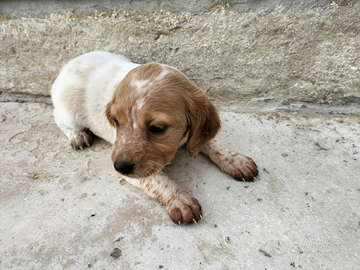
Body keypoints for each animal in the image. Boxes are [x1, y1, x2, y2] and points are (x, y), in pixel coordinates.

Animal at [51, 51, 258, 225]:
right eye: (116, 121)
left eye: (157, 128)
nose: (119, 167)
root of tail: (68, 64)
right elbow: (157, 180)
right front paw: (179, 199)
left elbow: (211, 142)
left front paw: (235, 160)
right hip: (69, 114)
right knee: (58, 118)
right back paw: (78, 135)